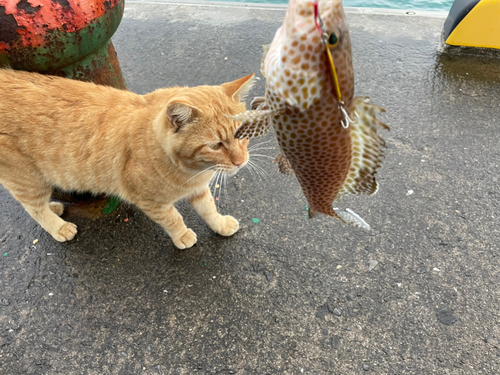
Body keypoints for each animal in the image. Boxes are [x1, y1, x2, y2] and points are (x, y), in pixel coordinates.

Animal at [0, 69, 254, 250]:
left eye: (243, 134)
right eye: (216, 145)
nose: (241, 162)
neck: (190, 170)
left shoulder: (198, 188)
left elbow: (209, 208)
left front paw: (220, 224)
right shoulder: (149, 201)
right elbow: (173, 218)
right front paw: (182, 235)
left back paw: (54, 207)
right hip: (27, 180)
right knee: (33, 208)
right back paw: (58, 227)